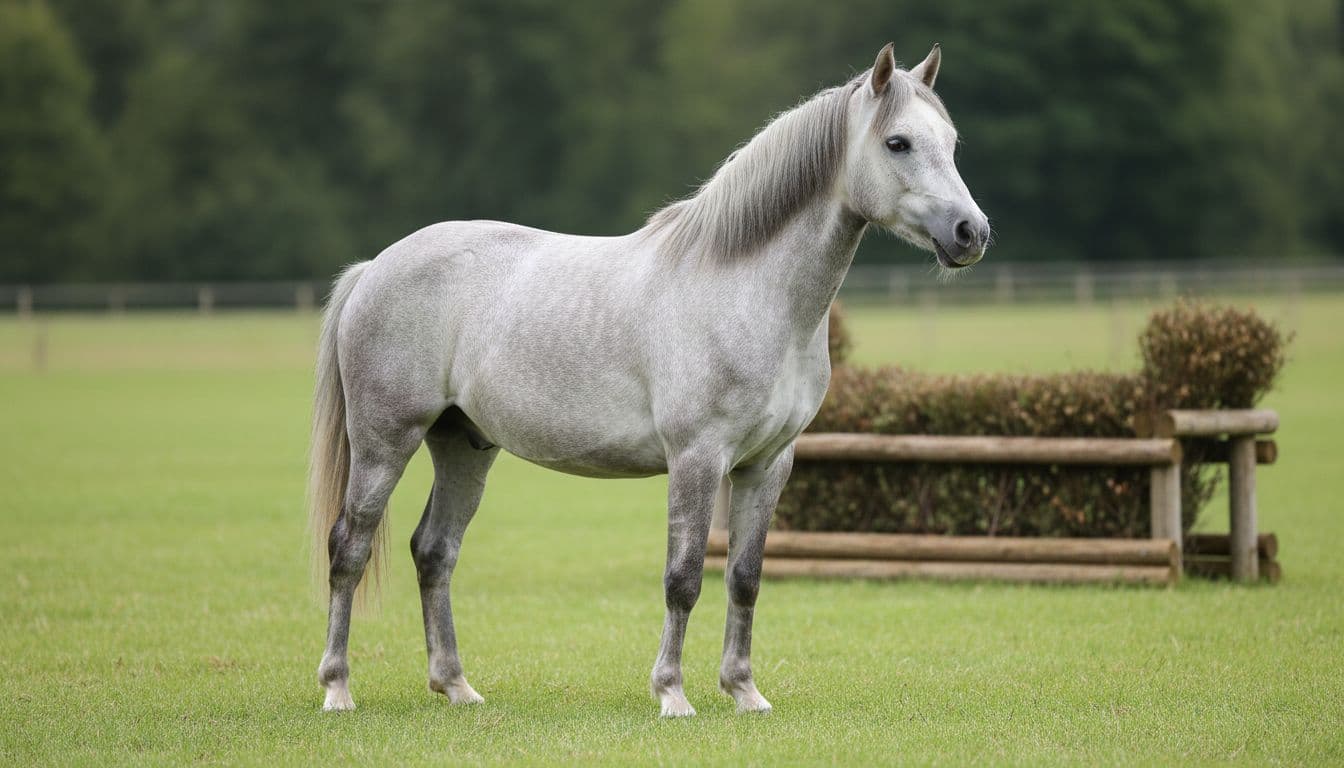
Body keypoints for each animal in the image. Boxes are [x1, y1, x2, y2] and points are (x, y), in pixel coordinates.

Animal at [309, 43, 989, 717]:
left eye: (952, 141)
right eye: (898, 142)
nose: (971, 233)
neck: (746, 289)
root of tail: (376, 266)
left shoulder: (768, 464)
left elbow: (745, 579)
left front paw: (744, 691)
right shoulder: (697, 458)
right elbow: (683, 578)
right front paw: (673, 694)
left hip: (464, 446)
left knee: (435, 551)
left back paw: (455, 685)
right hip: (384, 442)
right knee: (349, 548)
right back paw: (338, 688)